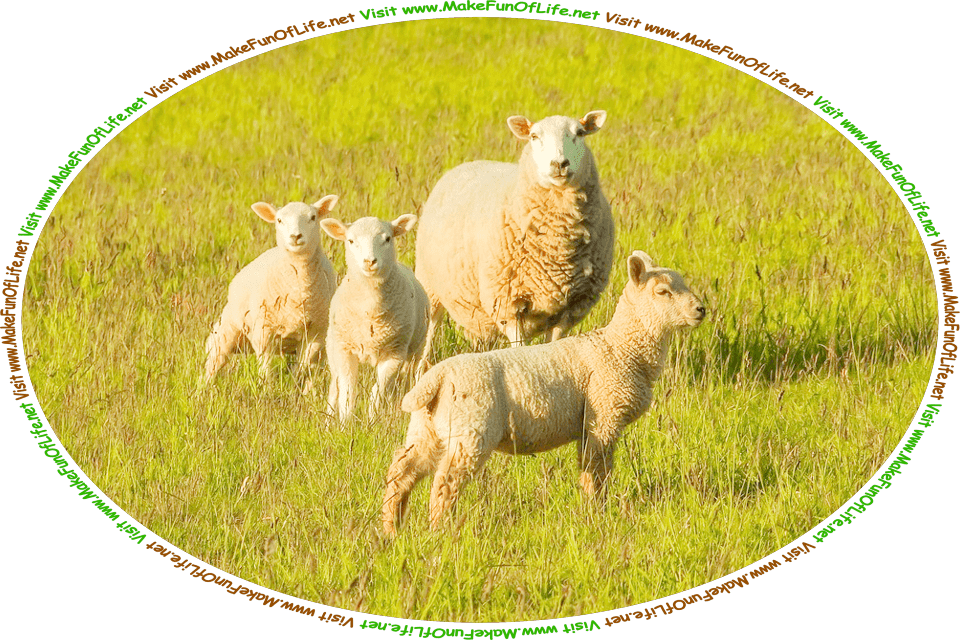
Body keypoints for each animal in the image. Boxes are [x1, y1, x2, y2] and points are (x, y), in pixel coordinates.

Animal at [202, 196, 339, 392]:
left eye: (313, 217)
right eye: (279, 220)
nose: (295, 237)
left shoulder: (316, 335)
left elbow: (304, 367)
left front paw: (296, 387)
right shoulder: (263, 332)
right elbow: (266, 368)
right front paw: (267, 389)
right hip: (226, 331)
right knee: (214, 362)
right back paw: (202, 389)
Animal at [320, 214, 430, 421]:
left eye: (387, 238)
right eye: (351, 240)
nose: (369, 262)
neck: (370, 309)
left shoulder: (394, 354)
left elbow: (377, 391)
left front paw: (372, 419)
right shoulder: (345, 350)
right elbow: (347, 391)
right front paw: (346, 422)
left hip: (416, 352)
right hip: (332, 348)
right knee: (334, 388)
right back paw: (329, 419)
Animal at [381, 250, 705, 536]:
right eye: (663, 292)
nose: (701, 310)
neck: (621, 347)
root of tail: (436, 378)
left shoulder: (591, 424)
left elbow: (589, 469)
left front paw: (590, 509)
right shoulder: (605, 417)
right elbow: (598, 471)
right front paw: (598, 512)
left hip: (429, 429)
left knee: (401, 472)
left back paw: (392, 530)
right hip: (471, 430)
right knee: (445, 482)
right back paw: (440, 533)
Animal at [414, 110, 615, 369]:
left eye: (580, 133)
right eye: (534, 136)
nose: (559, 164)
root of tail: (469, 163)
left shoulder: (569, 309)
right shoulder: (510, 305)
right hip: (429, 286)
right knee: (428, 337)